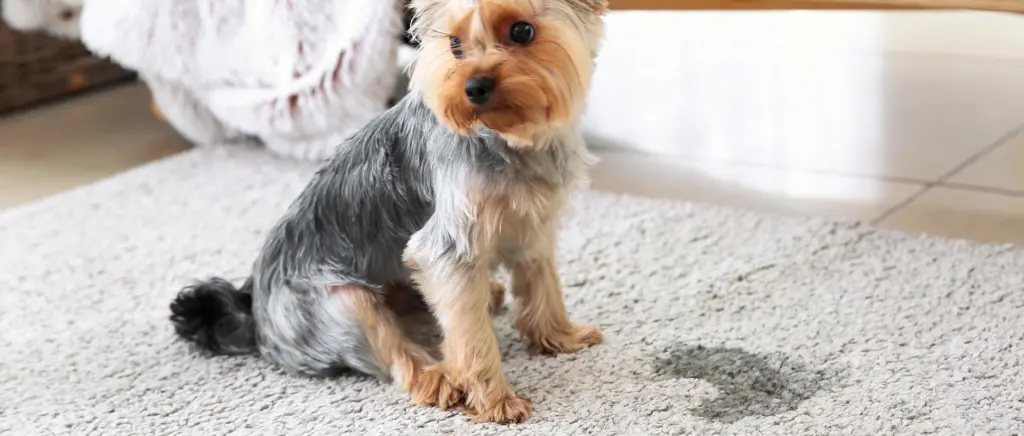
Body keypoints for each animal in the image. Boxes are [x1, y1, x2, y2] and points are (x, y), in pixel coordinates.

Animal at [168, 0, 606, 423]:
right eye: (454, 45)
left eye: (522, 31)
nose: (473, 87)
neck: (507, 138)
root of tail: (254, 310)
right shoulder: (447, 250)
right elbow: (471, 335)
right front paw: (493, 400)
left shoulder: (535, 227)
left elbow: (543, 287)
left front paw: (558, 337)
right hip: (340, 303)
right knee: (394, 351)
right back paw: (438, 378)